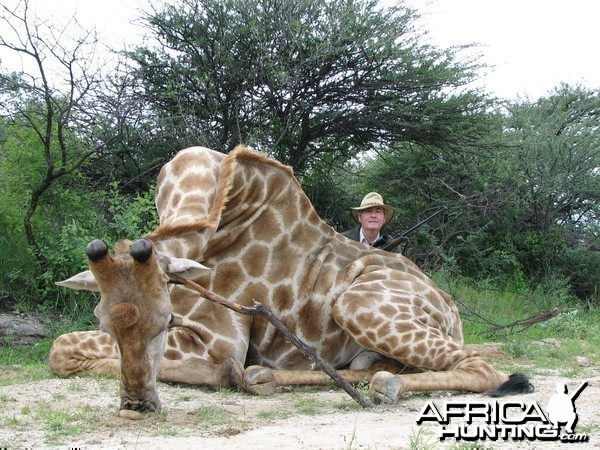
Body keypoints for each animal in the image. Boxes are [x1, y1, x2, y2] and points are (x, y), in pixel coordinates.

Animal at [49, 147, 532, 418]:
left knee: (483, 368)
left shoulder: (220, 339)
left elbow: (62, 348)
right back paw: (270, 376)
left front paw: (224, 374)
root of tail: (453, 311)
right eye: (103, 318)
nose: (137, 406)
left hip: (356, 304)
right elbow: (61, 352)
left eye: (166, 320)